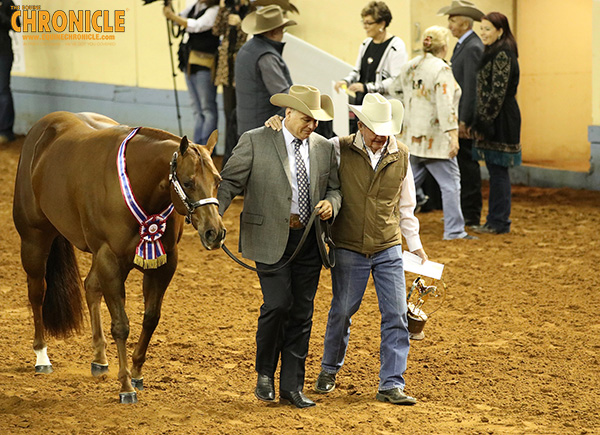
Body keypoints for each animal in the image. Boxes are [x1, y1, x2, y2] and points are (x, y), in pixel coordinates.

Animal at [11, 112, 227, 406]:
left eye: (218, 180)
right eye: (188, 182)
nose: (214, 233)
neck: (136, 183)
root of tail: (44, 126)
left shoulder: (163, 263)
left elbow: (151, 318)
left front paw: (136, 373)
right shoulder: (110, 259)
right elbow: (121, 325)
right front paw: (125, 386)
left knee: (90, 286)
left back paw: (99, 359)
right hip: (35, 239)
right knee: (37, 293)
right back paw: (42, 357)